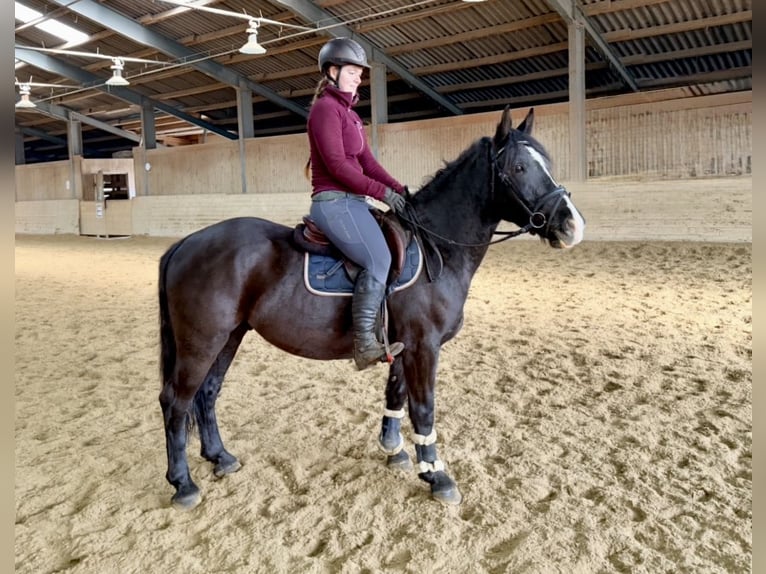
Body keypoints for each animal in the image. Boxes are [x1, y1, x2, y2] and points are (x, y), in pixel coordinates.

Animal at [157, 106, 585, 510]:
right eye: (519, 167)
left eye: (546, 164)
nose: (572, 226)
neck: (437, 247)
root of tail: (187, 243)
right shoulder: (424, 345)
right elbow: (424, 407)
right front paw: (437, 475)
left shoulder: (404, 345)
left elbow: (396, 395)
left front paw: (395, 451)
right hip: (202, 341)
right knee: (176, 401)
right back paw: (183, 484)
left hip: (230, 336)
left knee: (207, 393)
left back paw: (220, 457)